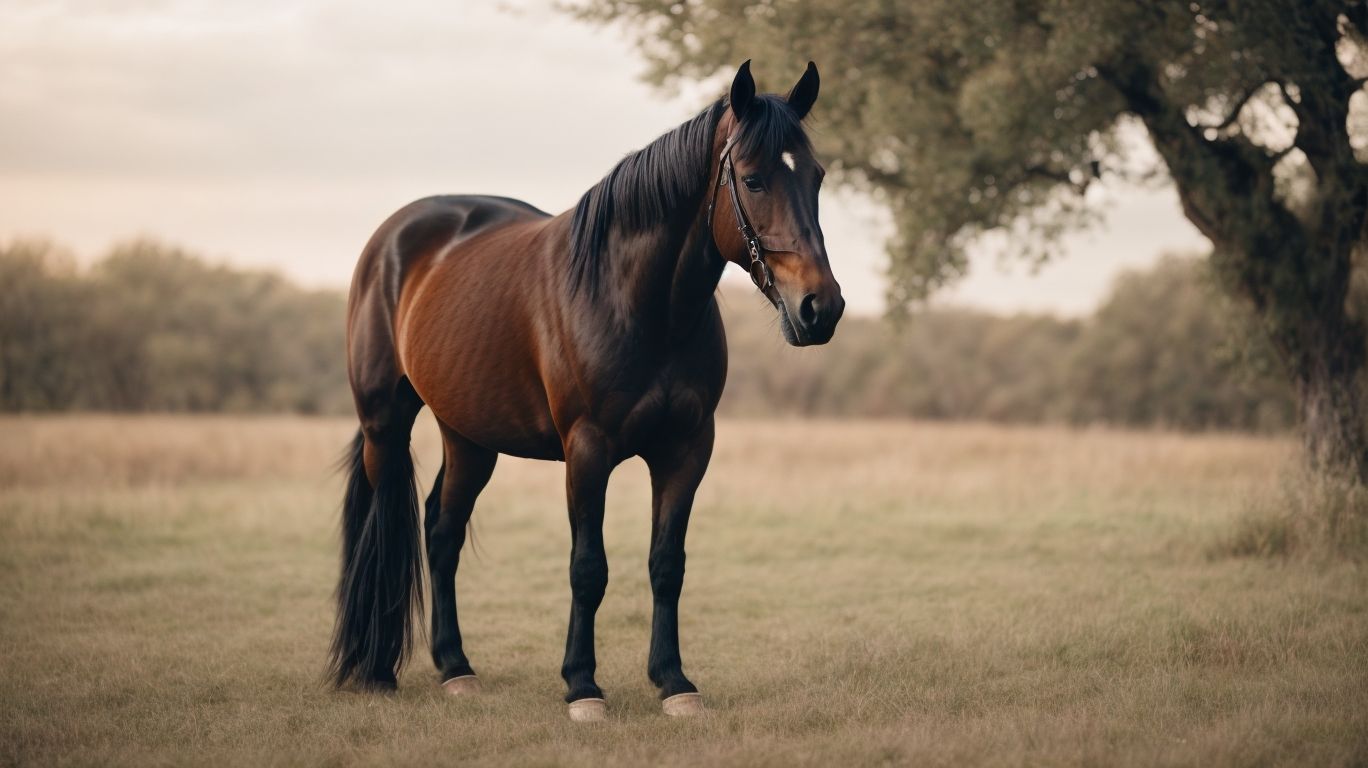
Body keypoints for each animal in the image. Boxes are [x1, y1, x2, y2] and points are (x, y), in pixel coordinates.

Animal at [329, 60, 844, 721]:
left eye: (816, 177)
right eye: (753, 180)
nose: (820, 308)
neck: (638, 302)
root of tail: (393, 239)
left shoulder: (687, 450)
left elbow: (666, 564)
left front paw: (673, 681)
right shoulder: (587, 451)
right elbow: (587, 568)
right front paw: (582, 686)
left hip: (469, 437)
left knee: (441, 534)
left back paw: (455, 668)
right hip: (385, 426)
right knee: (381, 532)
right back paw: (374, 670)